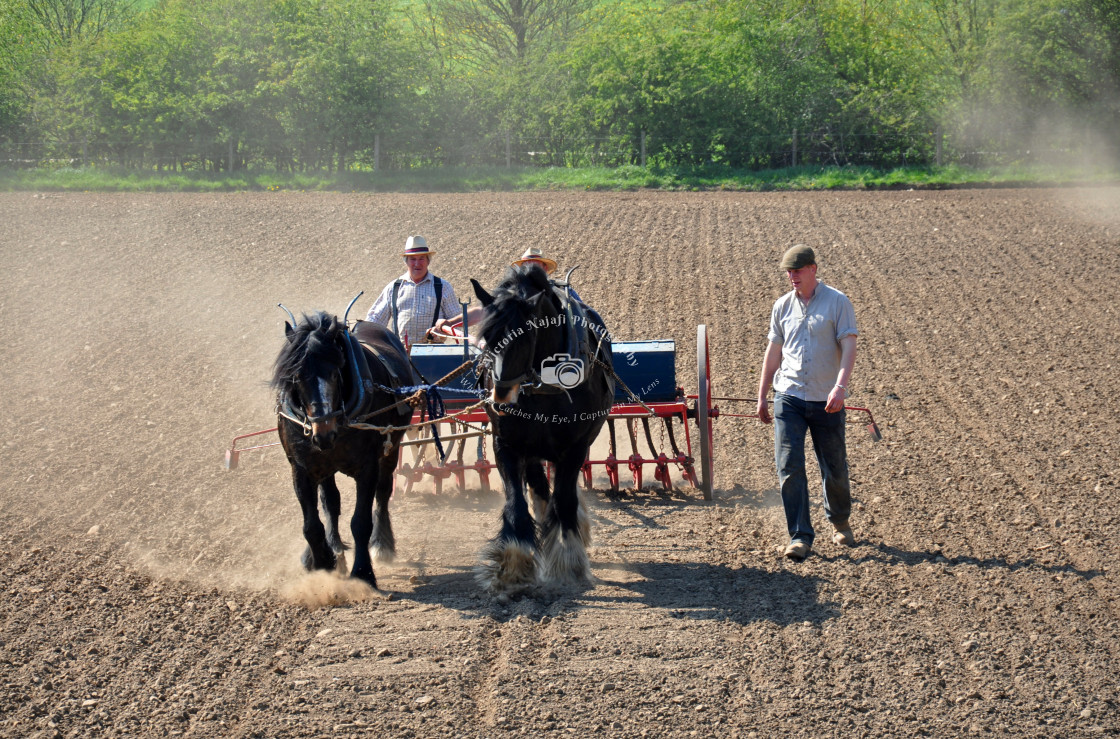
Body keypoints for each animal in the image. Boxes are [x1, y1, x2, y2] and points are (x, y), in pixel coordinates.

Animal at [271, 311, 416, 586]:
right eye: (296, 377)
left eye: (335, 373)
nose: (324, 433)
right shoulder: (302, 469)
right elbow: (311, 525)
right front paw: (323, 562)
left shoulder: (367, 466)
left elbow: (361, 522)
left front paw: (363, 572)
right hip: (326, 467)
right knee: (331, 501)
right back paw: (334, 548)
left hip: (391, 448)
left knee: (383, 492)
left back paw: (382, 545)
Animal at [470, 263, 618, 591]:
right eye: (486, 338)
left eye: (525, 337)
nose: (500, 399)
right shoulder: (506, 445)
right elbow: (516, 504)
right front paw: (513, 563)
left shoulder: (576, 447)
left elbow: (564, 500)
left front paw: (568, 561)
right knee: (538, 486)